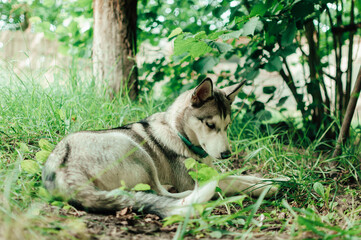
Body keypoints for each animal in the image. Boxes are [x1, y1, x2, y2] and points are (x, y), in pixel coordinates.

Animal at [43, 78, 278, 218]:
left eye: (227, 126)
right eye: (210, 125)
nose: (227, 155)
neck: (179, 133)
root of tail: (65, 170)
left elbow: (241, 176)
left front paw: (271, 180)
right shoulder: (194, 179)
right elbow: (234, 181)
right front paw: (269, 187)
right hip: (136, 150)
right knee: (162, 193)